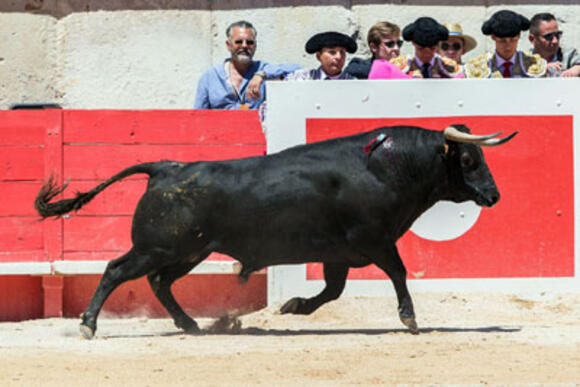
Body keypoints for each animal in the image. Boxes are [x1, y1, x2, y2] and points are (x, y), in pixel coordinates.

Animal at [36, 125, 516, 340]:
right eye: (469, 160)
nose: (494, 196)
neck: (385, 167)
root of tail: (166, 167)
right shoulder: (376, 242)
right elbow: (398, 273)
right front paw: (410, 319)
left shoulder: (339, 255)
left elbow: (333, 291)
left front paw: (293, 306)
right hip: (158, 246)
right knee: (117, 270)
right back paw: (88, 325)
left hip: (188, 252)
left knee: (159, 282)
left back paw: (191, 324)